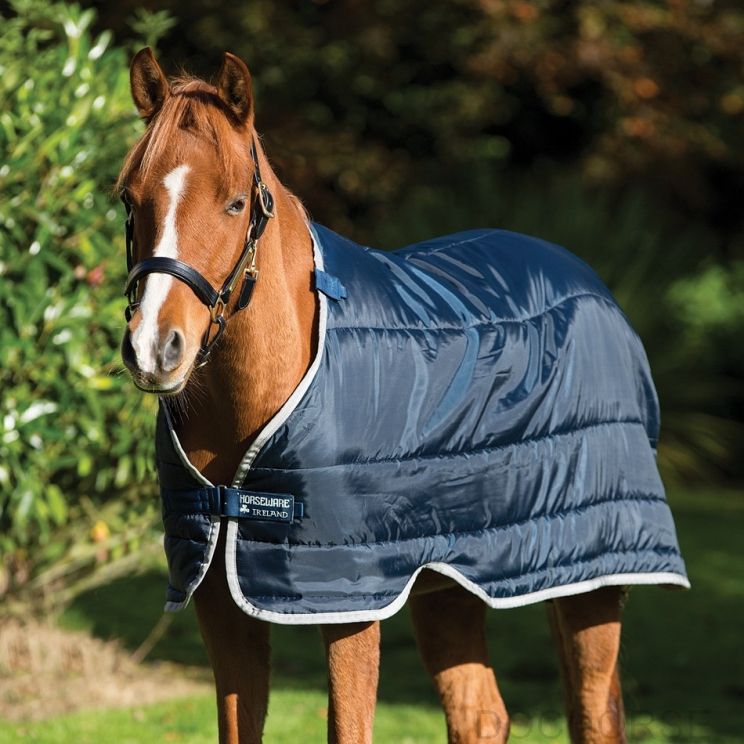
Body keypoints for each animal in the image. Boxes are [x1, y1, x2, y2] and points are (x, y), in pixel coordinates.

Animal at [118, 48, 688, 744]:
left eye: (234, 203)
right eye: (130, 200)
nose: (155, 347)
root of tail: (591, 285)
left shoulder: (349, 604)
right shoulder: (218, 602)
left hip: (593, 580)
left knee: (593, 712)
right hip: (452, 587)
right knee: (480, 715)